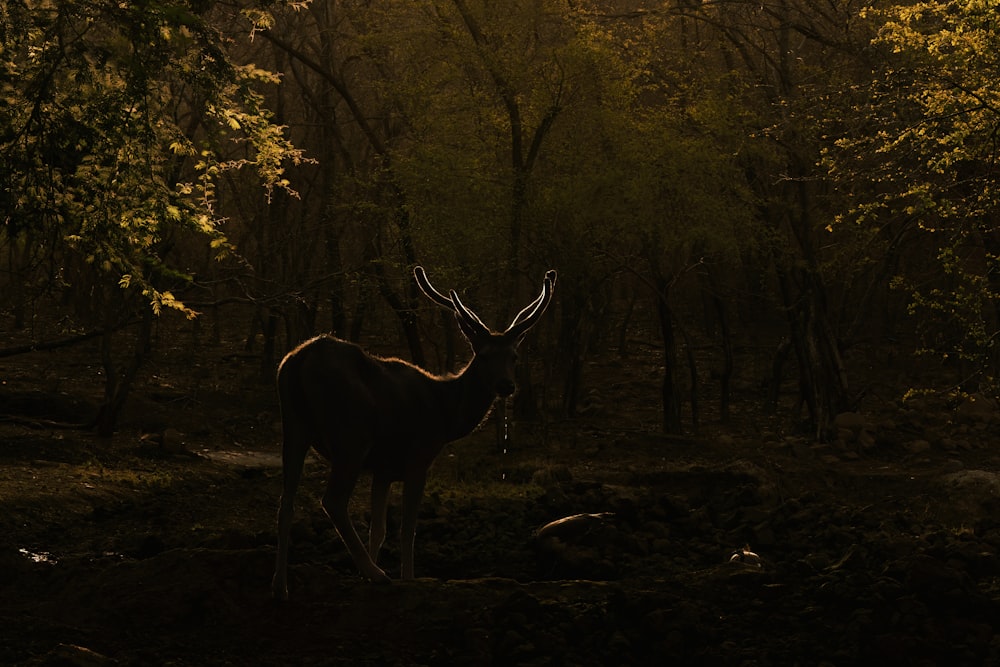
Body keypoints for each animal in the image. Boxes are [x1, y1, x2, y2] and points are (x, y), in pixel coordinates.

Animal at [272, 266, 556, 600]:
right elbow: (408, 529)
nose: (506, 385)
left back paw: (280, 586)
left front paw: (363, 574)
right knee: (333, 500)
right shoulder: (419, 456)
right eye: (483, 355)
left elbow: (379, 530)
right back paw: (377, 574)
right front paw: (404, 577)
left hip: (294, 427)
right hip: (351, 435)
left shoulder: (382, 469)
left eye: (513, 356)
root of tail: (297, 361)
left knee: (285, 503)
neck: (446, 414)